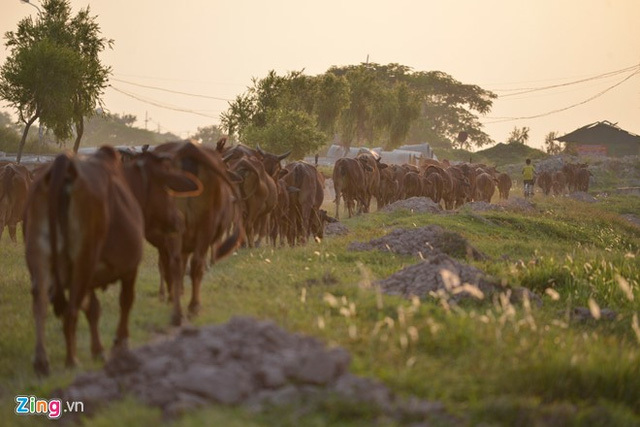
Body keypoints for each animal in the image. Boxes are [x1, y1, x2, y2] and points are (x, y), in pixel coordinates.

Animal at [25, 149, 200, 376]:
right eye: (168, 189)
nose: (179, 221)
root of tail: (64, 166)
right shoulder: (130, 268)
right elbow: (126, 301)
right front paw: (121, 341)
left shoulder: (92, 278)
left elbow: (93, 309)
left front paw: (98, 350)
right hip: (83, 260)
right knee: (70, 310)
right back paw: (71, 360)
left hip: (40, 261)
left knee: (41, 304)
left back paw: (41, 361)